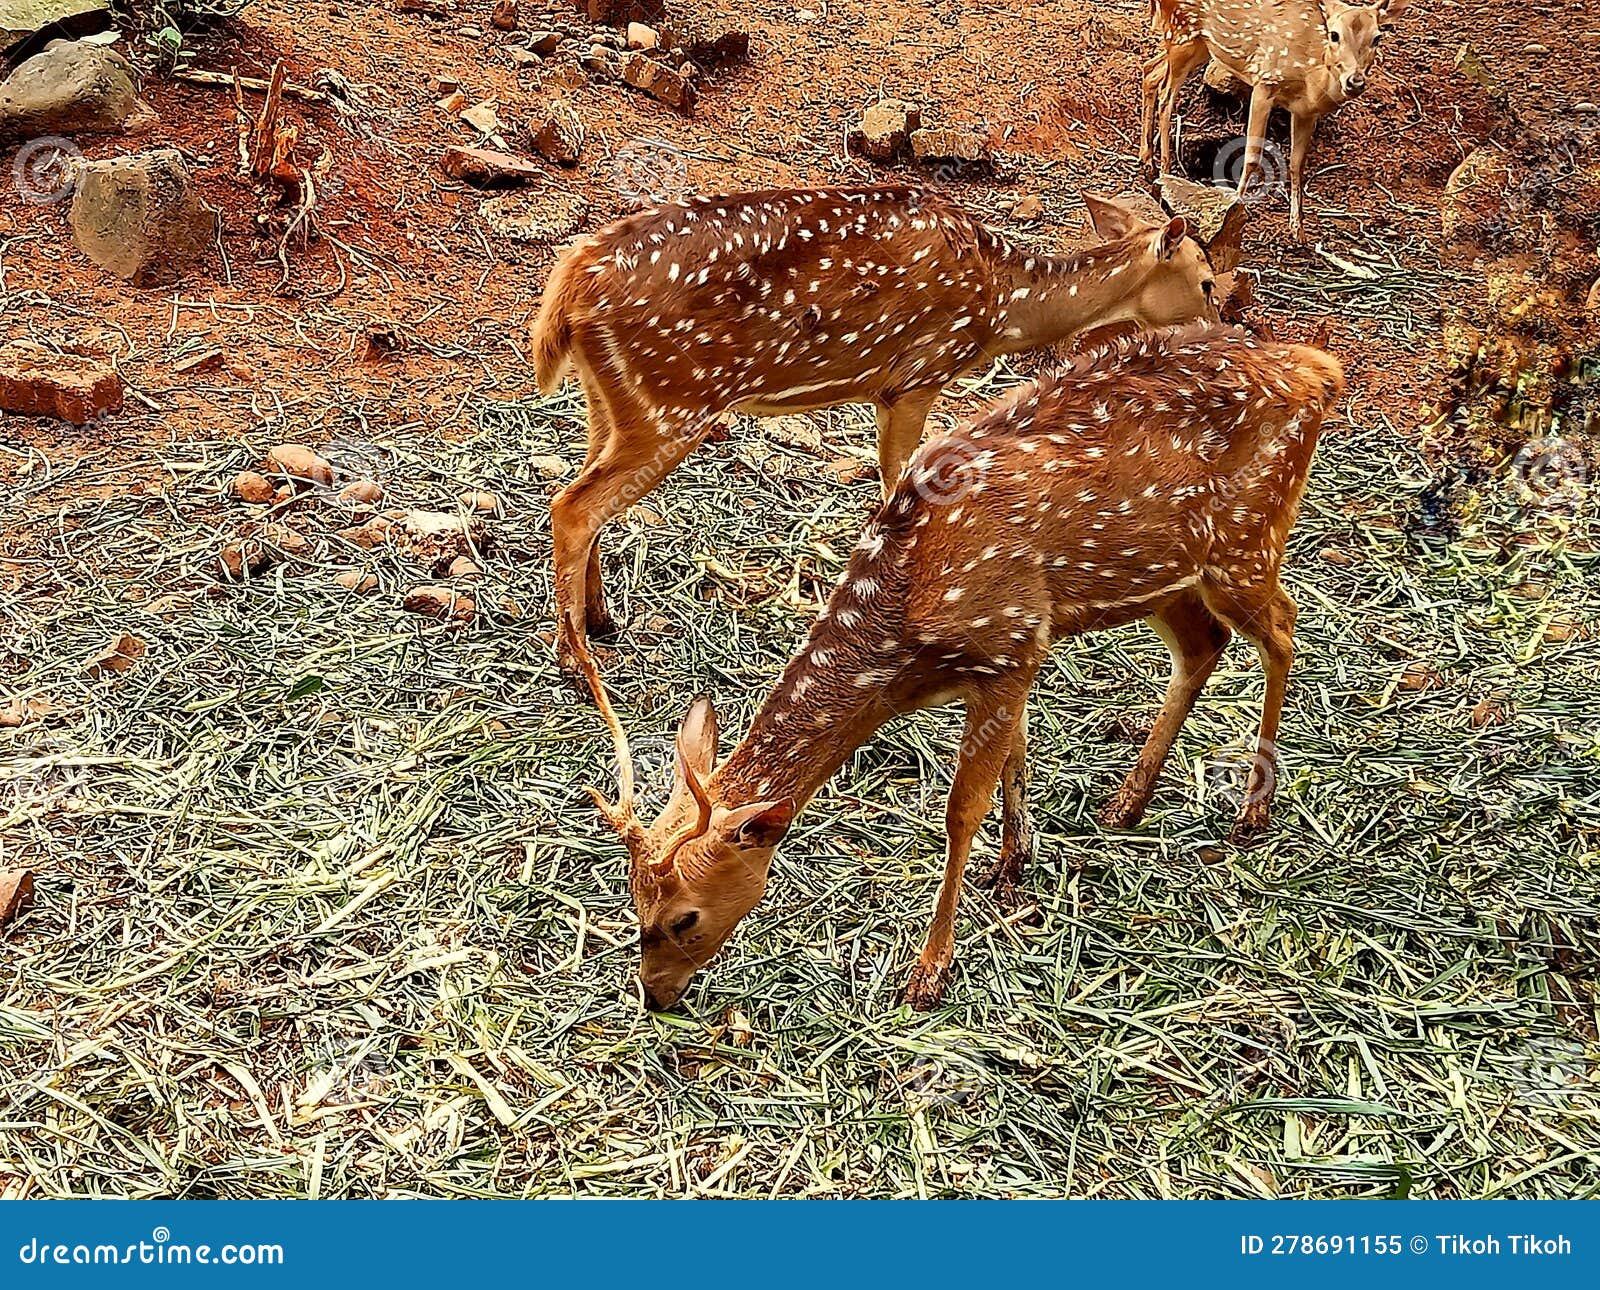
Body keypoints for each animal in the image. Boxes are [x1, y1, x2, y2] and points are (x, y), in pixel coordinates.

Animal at [530, 185, 1221, 686]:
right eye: (1208, 280)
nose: (1227, 323)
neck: (1002, 304)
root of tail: (571, 282)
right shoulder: (917, 375)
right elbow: (897, 482)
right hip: (672, 403)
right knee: (572, 506)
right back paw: (577, 660)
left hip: (610, 399)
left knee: (585, 496)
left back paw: (602, 619)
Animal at [579, 321, 1345, 1012]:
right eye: (632, 905)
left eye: (683, 917)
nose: (654, 996)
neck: (904, 624)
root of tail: (1321, 370)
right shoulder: (1020, 650)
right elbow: (1018, 752)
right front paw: (1015, 862)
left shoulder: (1008, 644)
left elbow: (959, 812)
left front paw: (928, 971)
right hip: (1162, 574)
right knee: (1204, 644)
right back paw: (1128, 802)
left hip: (1247, 535)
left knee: (1284, 629)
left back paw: (1253, 807)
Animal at [1139, 0, 1411, 237]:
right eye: (1334, 35)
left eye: (1377, 37)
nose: (1355, 82)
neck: (1312, 81)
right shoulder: (1265, 81)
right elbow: (1252, 156)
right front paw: (1234, 206)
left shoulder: (1305, 112)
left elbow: (1297, 164)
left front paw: (1297, 230)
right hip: (1182, 33)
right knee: (1165, 97)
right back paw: (1164, 172)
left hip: (1200, 46)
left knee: (1150, 71)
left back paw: (1147, 160)